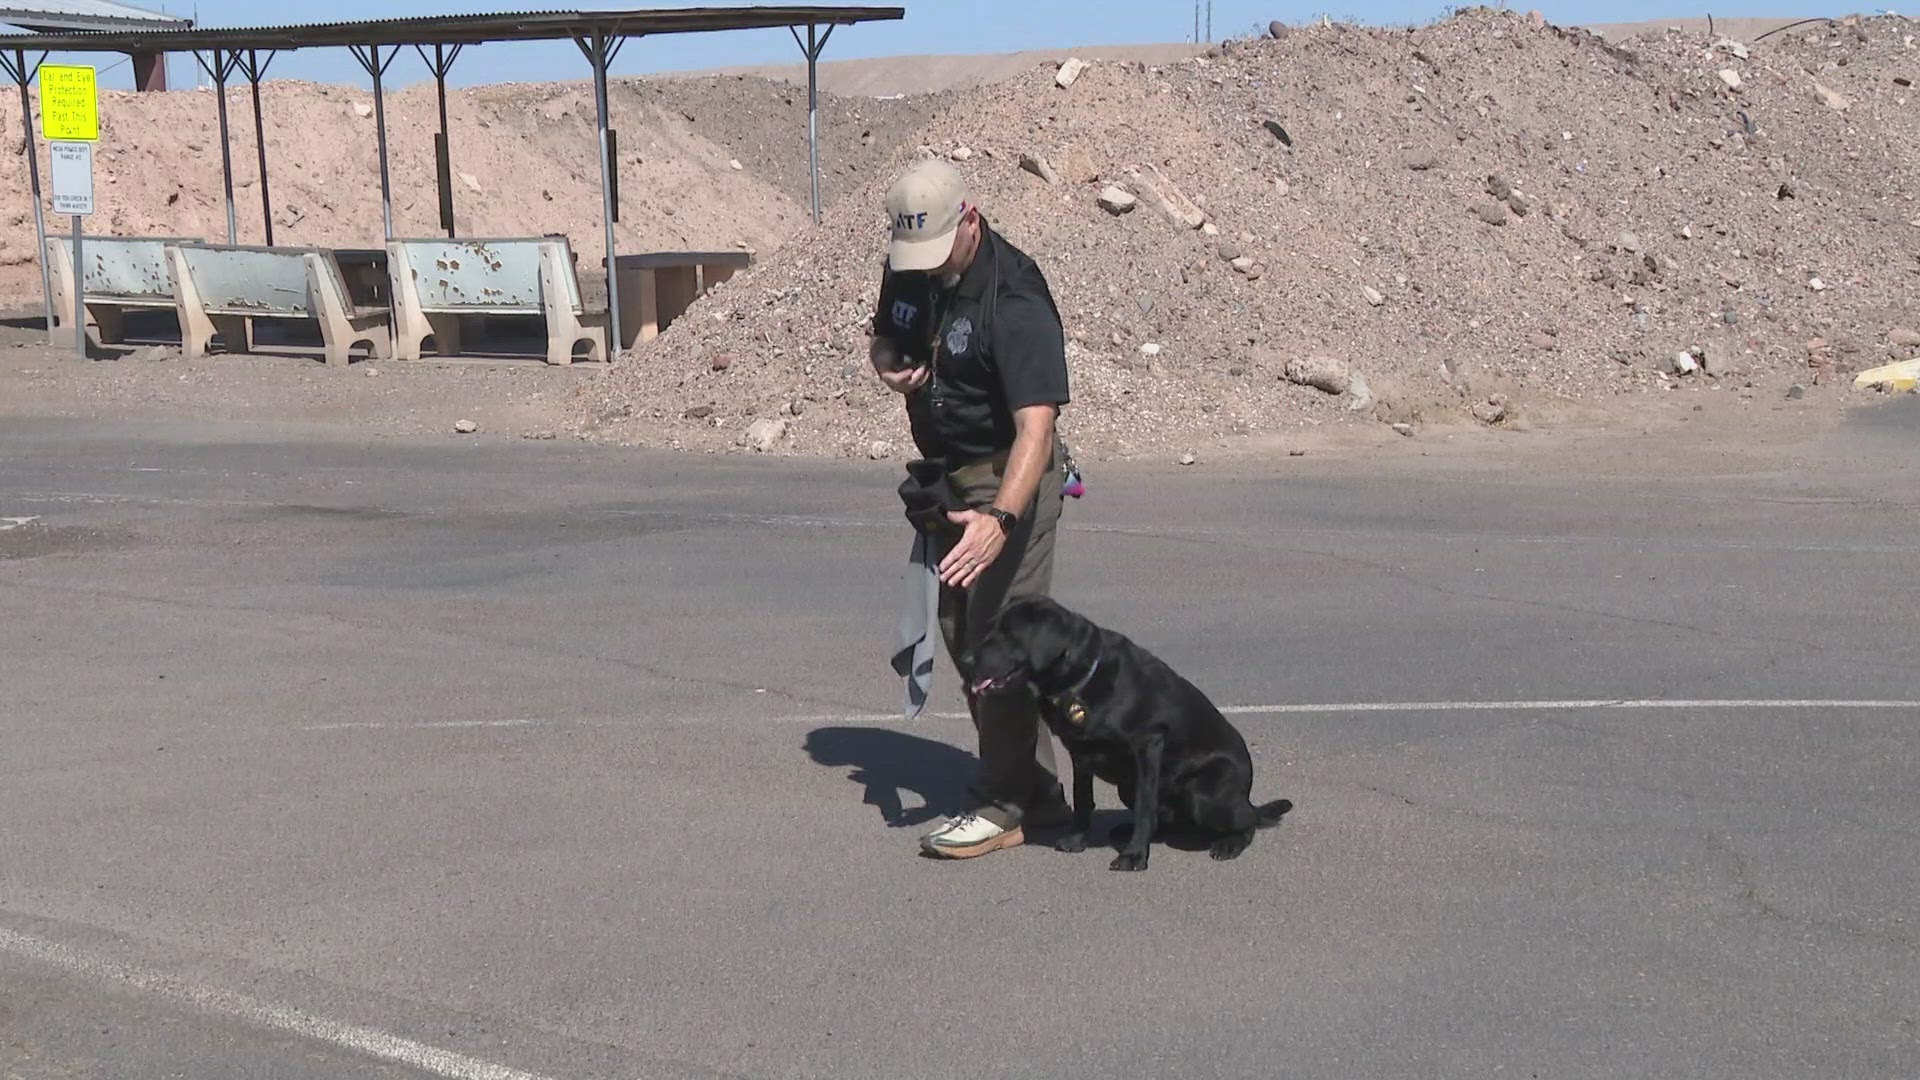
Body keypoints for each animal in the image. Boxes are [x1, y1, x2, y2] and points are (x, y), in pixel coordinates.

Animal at [960, 591, 1290, 868]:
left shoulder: (1148, 745)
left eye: (1009, 635)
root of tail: (1246, 797)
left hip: (1205, 797)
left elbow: (1145, 807)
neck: (1079, 681)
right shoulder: (1080, 753)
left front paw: (1134, 856)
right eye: (991, 628)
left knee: (1246, 822)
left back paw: (1229, 843)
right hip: (1126, 787)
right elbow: (1083, 800)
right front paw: (1077, 839)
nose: (966, 660)